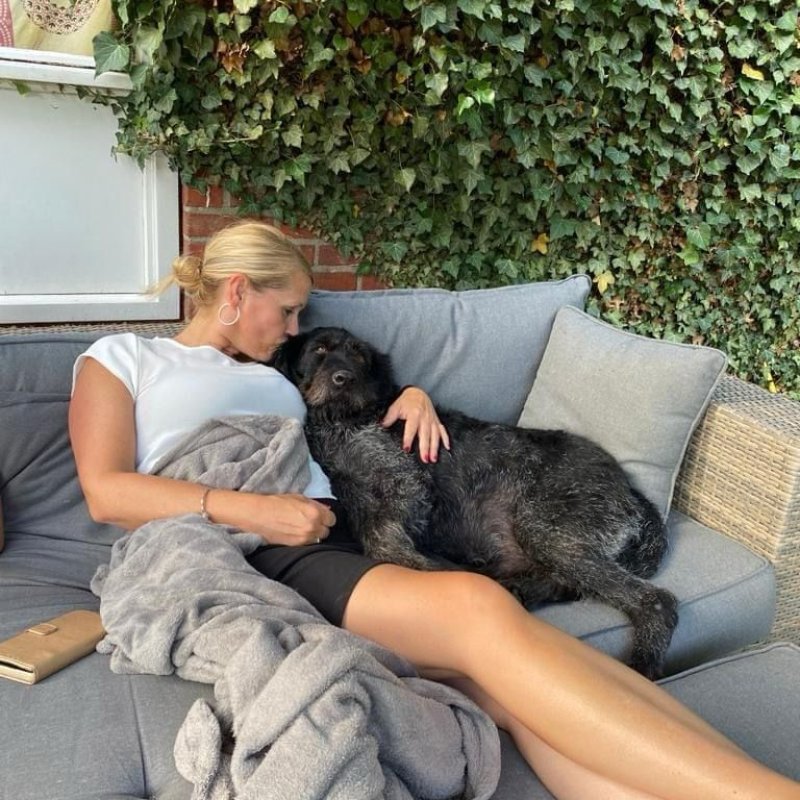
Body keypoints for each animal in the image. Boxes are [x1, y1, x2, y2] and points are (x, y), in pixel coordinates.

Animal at [272, 326, 678, 678]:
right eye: (319, 350)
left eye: (359, 356)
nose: (344, 378)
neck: (339, 424)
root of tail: (631, 491)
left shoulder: (406, 479)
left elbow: (381, 537)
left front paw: (428, 568)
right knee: (566, 582)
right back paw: (515, 588)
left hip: (545, 526)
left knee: (656, 600)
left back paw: (642, 664)